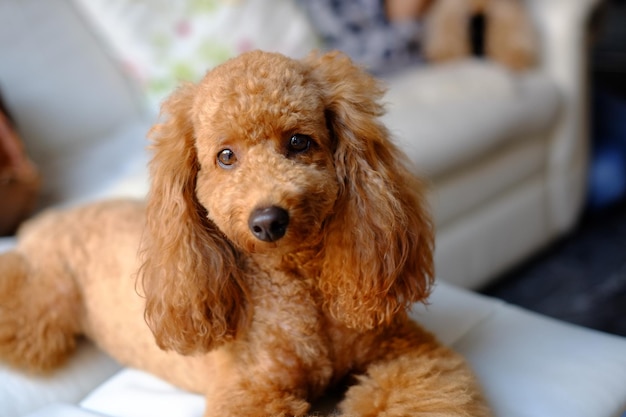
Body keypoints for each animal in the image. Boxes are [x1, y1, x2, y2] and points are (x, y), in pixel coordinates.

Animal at [0, 50, 488, 414]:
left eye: (298, 142)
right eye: (226, 156)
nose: (268, 220)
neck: (299, 289)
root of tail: (47, 218)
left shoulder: (404, 351)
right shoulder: (249, 390)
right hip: (44, 307)